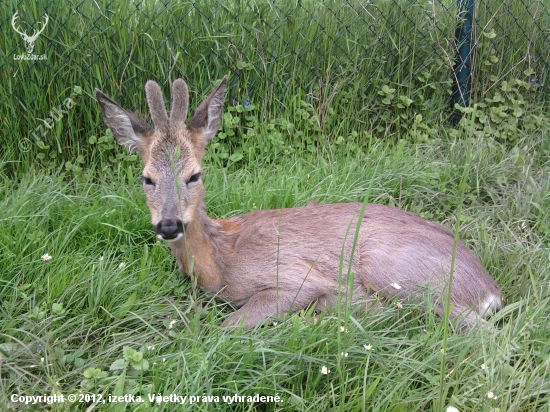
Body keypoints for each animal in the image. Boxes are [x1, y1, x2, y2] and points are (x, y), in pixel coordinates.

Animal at [95, 76, 504, 328]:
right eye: (146, 178)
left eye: (195, 175)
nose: (169, 225)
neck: (219, 258)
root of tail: (490, 290)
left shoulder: (294, 278)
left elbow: (228, 326)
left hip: (392, 268)